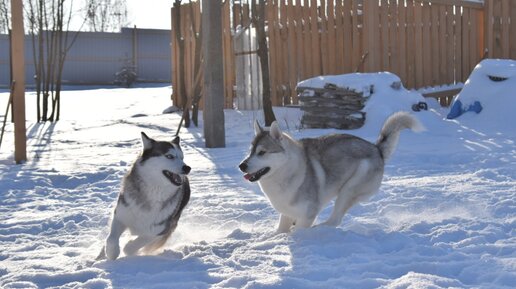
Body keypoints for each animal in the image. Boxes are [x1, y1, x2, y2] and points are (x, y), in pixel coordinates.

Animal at [102, 132, 190, 260]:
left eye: (182, 157)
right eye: (169, 156)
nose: (187, 168)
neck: (152, 192)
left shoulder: (160, 230)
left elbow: (134, 245)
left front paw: (129, 247)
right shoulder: (120, 216)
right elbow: (111, 238)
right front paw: (112, 252)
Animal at [239, 111, 424, 233]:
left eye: (262, 152)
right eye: (250, 151)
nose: (241, 166)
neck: (287, 172)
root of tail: (376, 148)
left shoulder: (306, 215)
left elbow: (298, 230)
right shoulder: (286, 214)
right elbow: (279, 231)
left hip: (347, 191)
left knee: (335, 220)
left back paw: (318, 229)